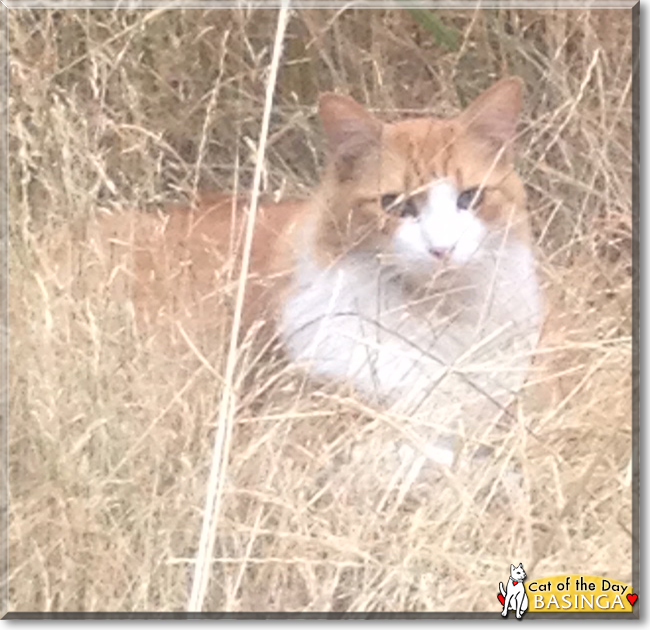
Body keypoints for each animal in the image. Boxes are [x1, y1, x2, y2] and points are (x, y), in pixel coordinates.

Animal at [78, 80, 540, 478]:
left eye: (470, 198)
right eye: (396, 205)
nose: (442, 249)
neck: (435, 318)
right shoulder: (292, 436)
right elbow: (436, 461)